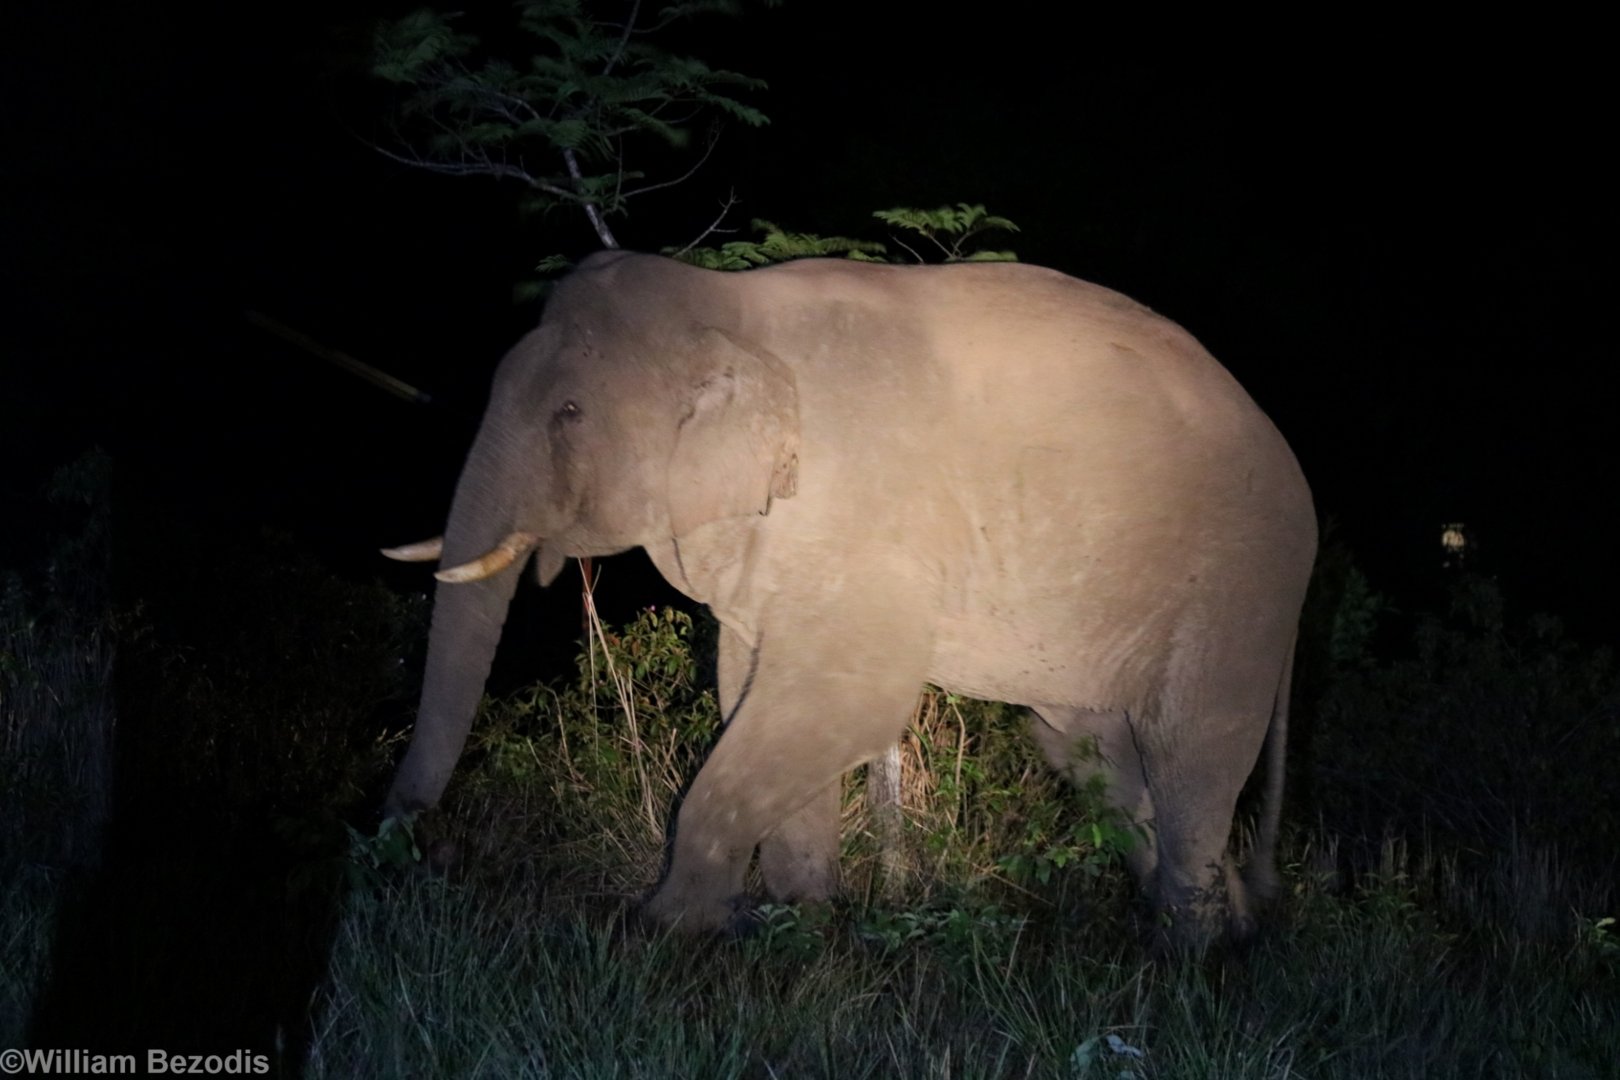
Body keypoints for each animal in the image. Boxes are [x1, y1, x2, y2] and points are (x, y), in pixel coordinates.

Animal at [382, 250, 1316, 947]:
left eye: (570, 411)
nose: (413, 841)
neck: (725, 310)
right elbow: (748, 682)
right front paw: (799, 923)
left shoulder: (867, 514)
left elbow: (844, 697)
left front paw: (662, 934)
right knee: (1092, 756)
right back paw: (1221, 928)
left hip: (1237, 590)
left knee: (1191, 752)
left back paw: (1187, 955)